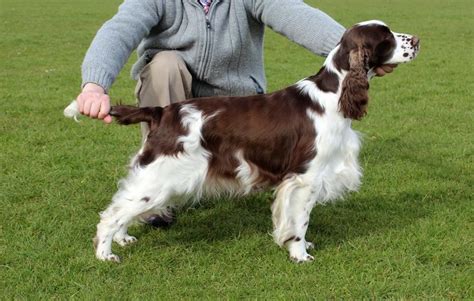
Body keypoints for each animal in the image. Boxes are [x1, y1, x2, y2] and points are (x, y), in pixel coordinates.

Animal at [65, 20, 420, 262]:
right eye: (386, 38)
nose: (417, 39)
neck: (334, 93)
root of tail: (162, 112)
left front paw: (300, 246)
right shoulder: (305, 177)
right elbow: (300, 220)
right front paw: (300, 254)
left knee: (122, 204)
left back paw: (123, 239)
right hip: (161, 176)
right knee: (112, 214)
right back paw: (106, 254)